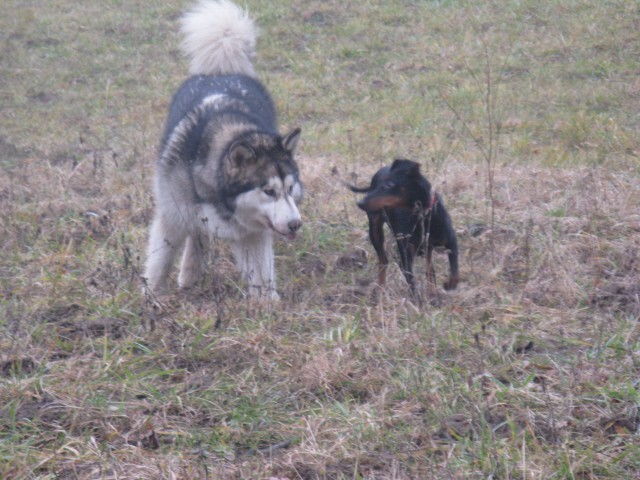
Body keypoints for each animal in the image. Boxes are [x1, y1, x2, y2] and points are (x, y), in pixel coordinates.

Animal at [144, 0, 302, 300]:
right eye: (269, 191)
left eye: (290, 189)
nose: (295, 224)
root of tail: (222, 71)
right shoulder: (172, 215)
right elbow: (158, 265)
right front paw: (149, 301)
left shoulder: (252, 234)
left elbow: (262, 279)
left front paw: (269, 305)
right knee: (196, 232)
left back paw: (191, 273)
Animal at [350, 159, 460, 294]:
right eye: (377, 186)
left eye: (389, 185)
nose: (360, 203)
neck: (420, 215)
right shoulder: (406, 258)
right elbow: (412, 285)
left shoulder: (451, 242)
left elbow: (455, 273)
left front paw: (449, 285)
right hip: (375, 231)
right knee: (383, 261)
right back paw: (380, 288)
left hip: (426, 246)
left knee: (429, 269)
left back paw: (432, 291)